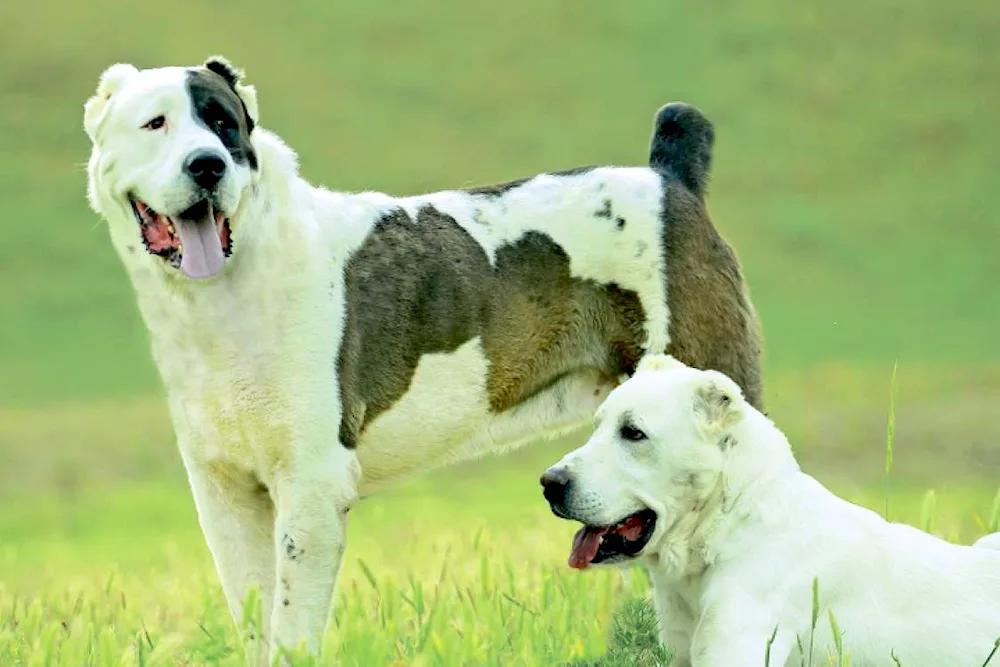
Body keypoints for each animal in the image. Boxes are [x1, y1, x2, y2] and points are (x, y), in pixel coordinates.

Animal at [82, 57, 760, 664]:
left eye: (223, 124)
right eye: (156, 123)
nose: (208, 164)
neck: (226, 286)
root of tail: (669, 181)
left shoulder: (313, 485)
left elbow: (292, 627)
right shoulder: (223, 490)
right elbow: (255, 615)